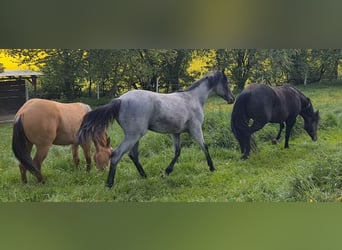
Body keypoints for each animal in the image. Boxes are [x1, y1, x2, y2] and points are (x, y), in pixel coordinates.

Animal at [77, 70, 235, 188]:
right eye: (225, 82)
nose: (232, 99)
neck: (192, 98)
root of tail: (120, 100)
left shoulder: (175, 133)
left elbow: (177, 152)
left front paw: (166, 172)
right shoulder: (195, 129)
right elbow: (205, 147)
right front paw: (212, 168)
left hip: (135, 136)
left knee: (133, 155)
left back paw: (144, 176)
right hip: (133, 136)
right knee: (116, 155)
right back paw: (109, 184)